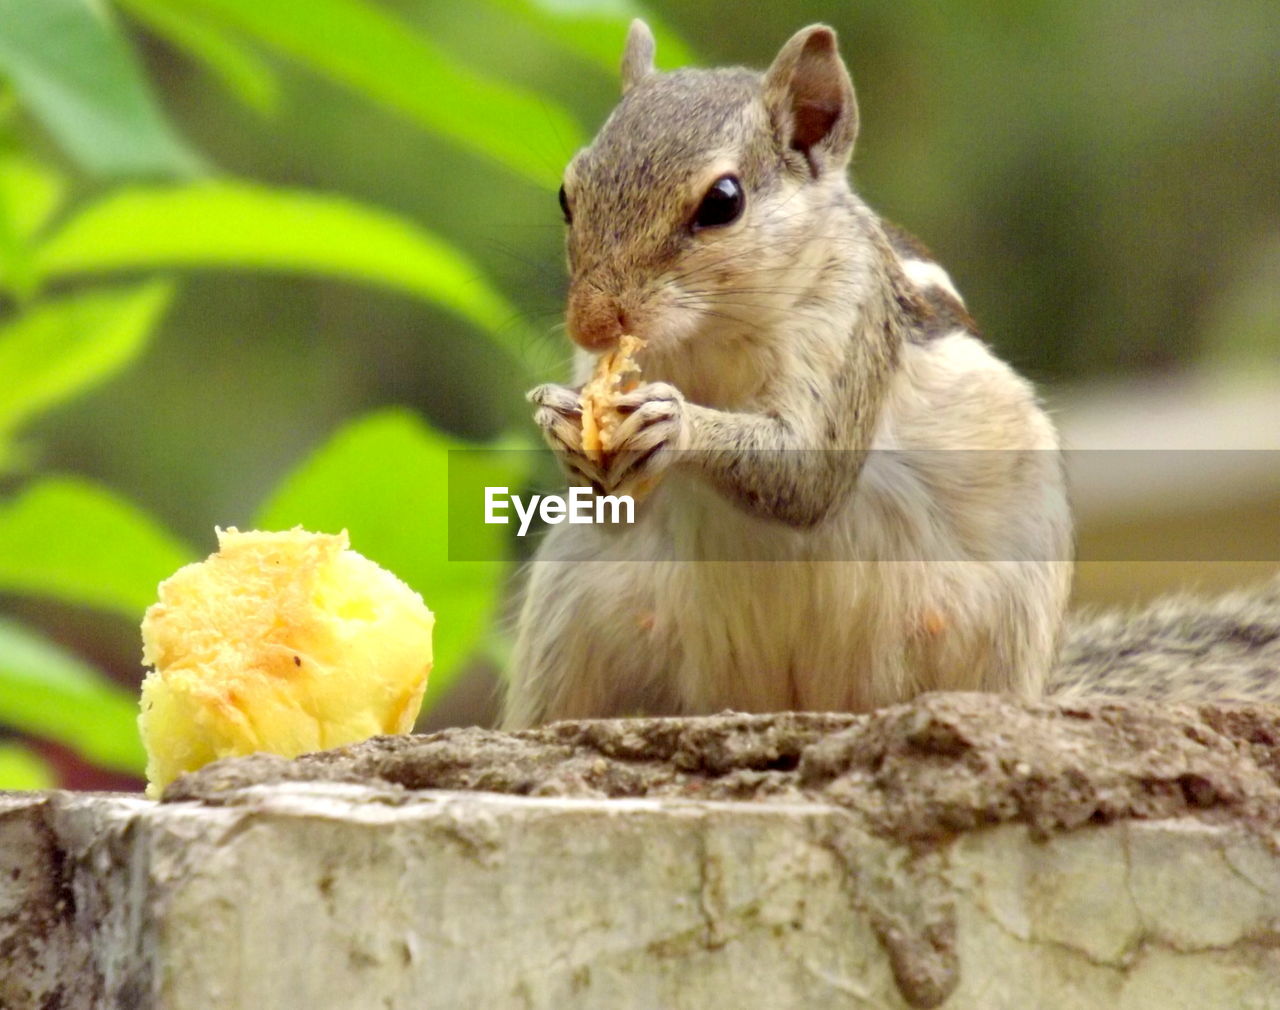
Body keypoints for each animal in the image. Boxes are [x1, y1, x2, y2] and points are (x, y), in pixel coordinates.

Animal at [504, 21, 1274, 727]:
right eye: (568, 193)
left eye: (723, 201)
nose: (591, 325)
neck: (711, 335)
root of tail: (785, 700)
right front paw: (561, 423)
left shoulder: (851, 329)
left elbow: (810, 474)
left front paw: (677, 421)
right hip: (571, 615)